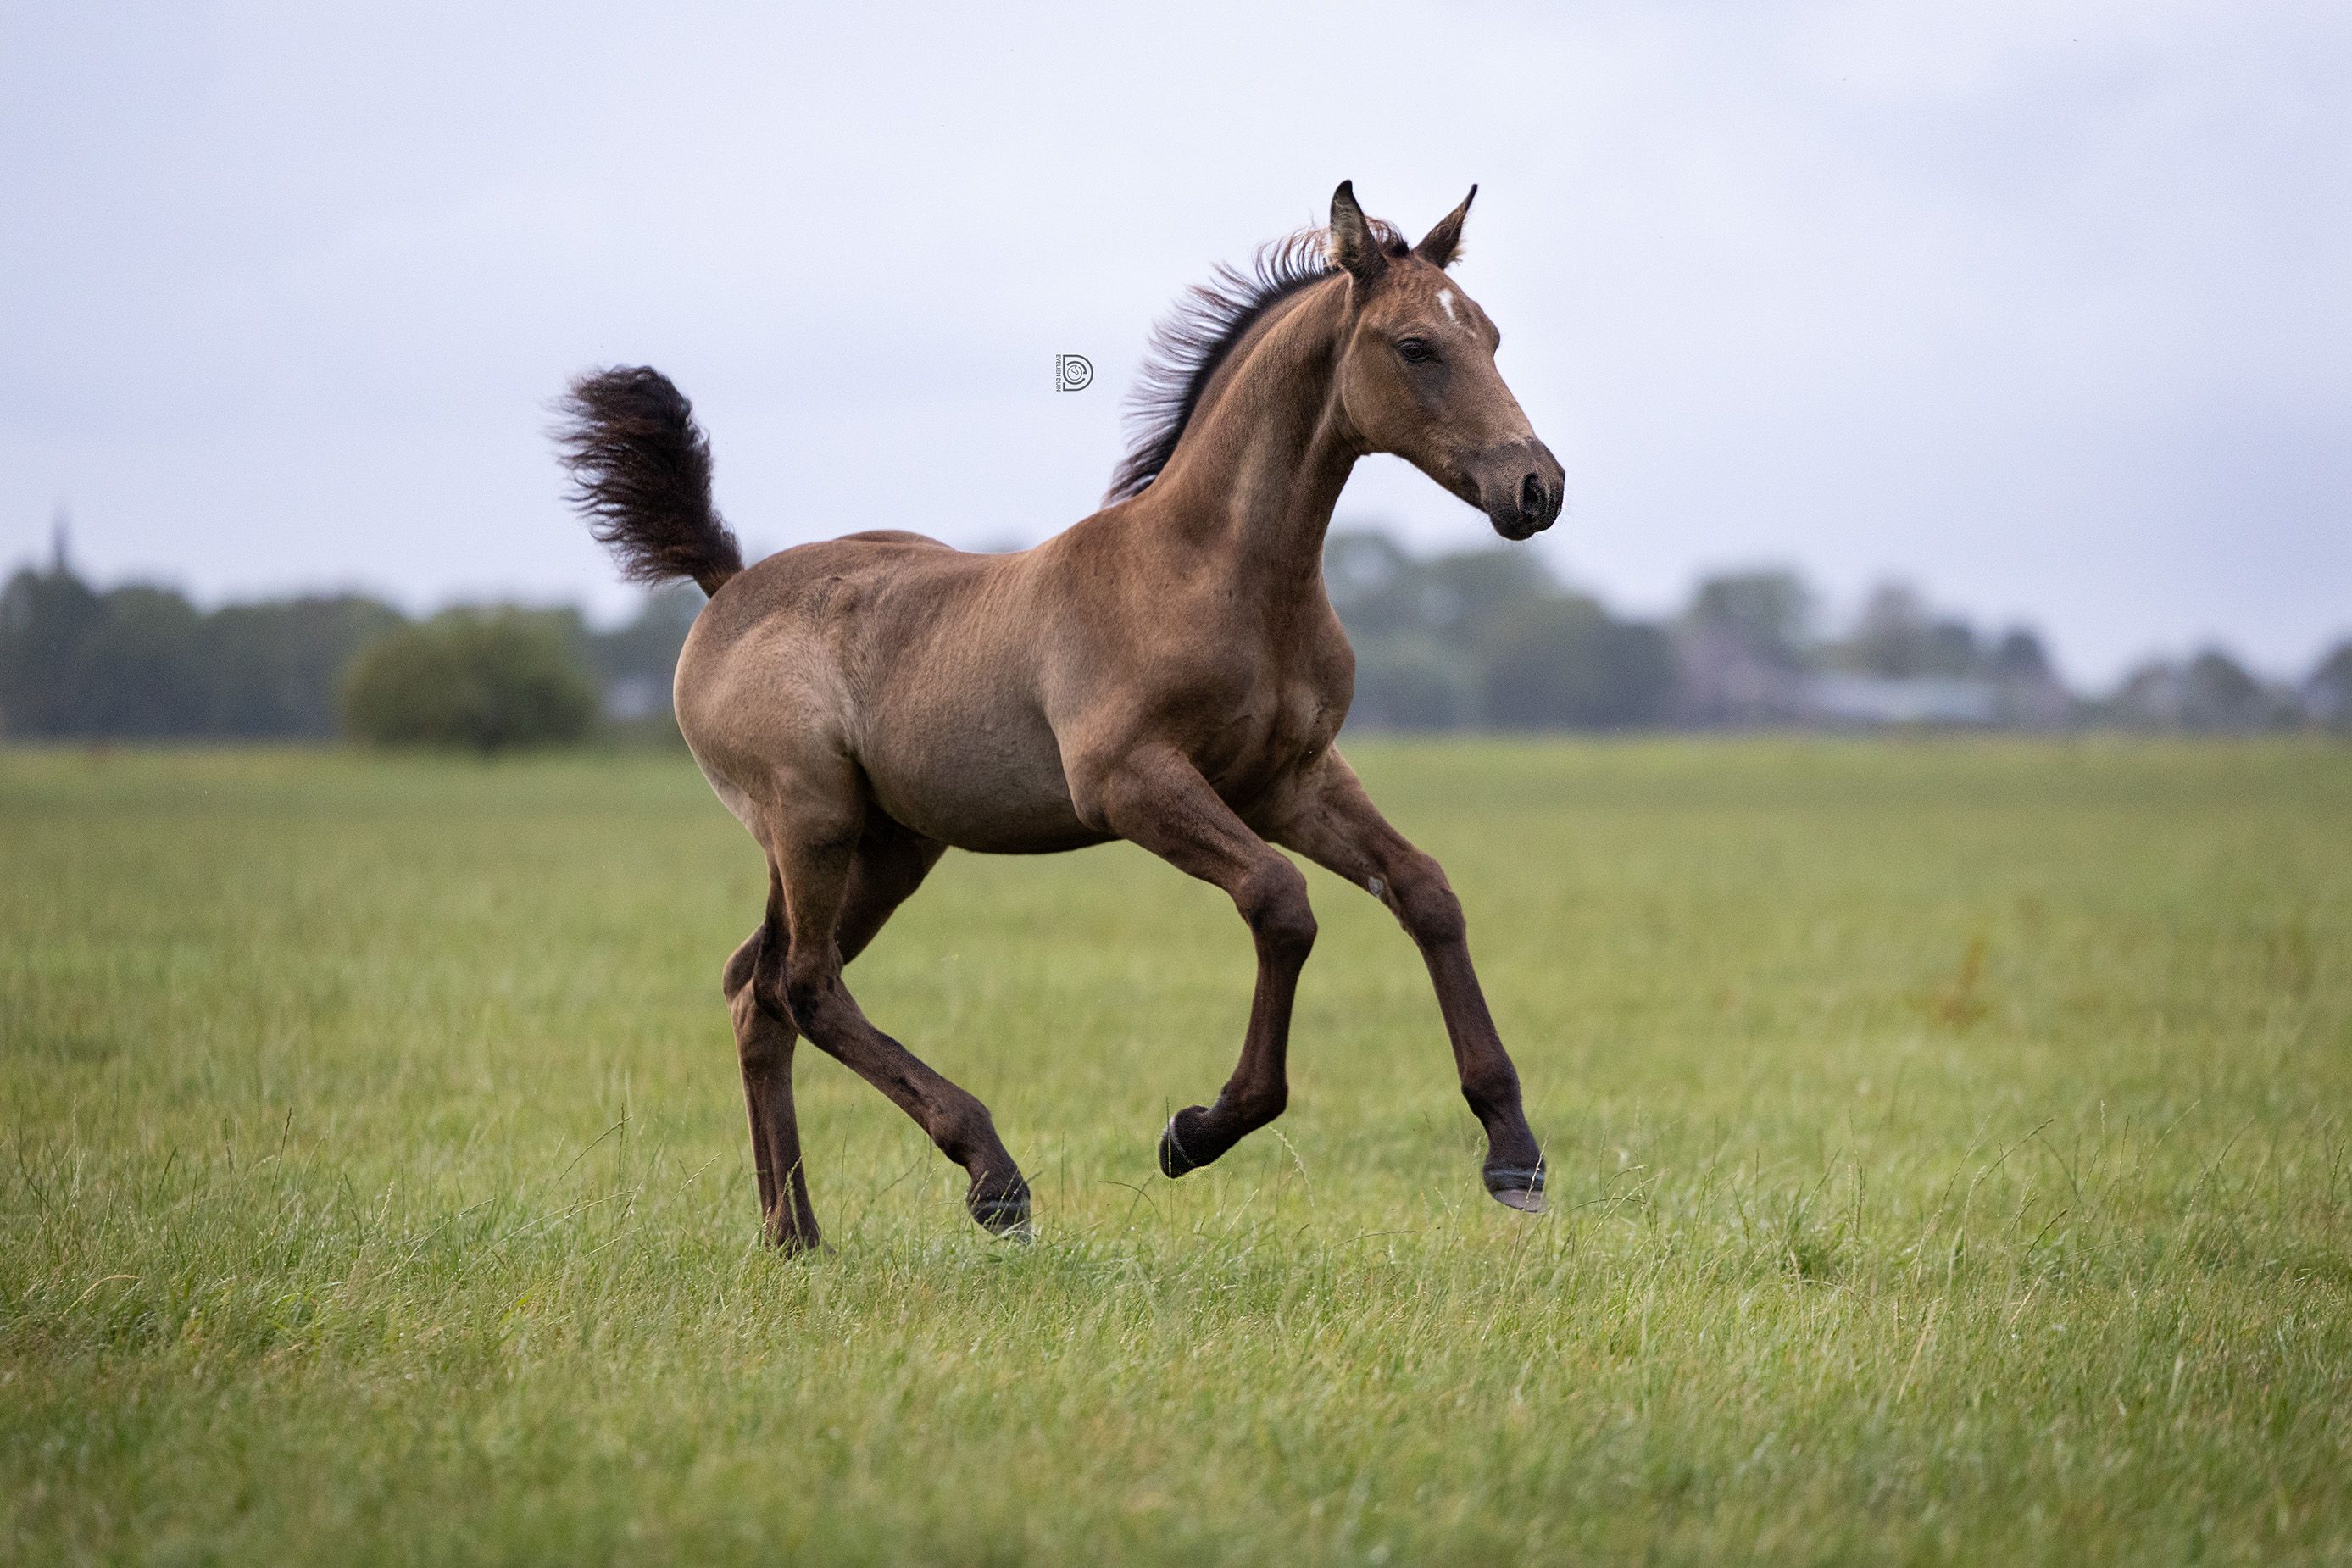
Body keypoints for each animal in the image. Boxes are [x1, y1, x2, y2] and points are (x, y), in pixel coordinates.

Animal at [554, 182, 1564, 1250]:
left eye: (1490, 335)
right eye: (1416, 346)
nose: (1536, 487)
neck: (1221, 574)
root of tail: (728, 584)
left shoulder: (1292, 778)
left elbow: (1425, 890)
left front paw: (1514, 1152)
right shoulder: (1130, 783)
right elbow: (1279, 901)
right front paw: (1199, 1128)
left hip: (889, 846)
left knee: (757, 987)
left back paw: (796, 1234)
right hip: (810, 820)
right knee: (803, 983)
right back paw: (991, 1175)